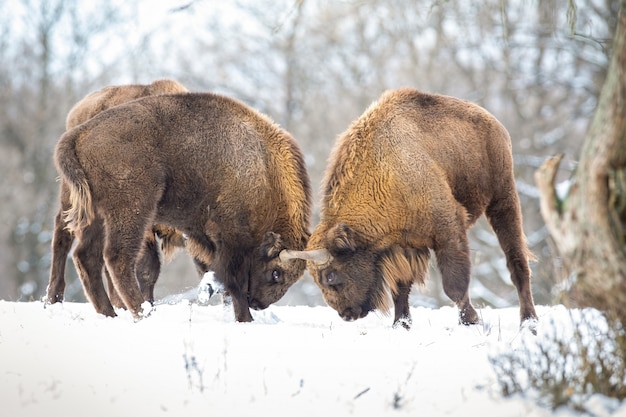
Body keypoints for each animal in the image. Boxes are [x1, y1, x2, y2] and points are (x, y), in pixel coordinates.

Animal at [53, 92, 310, 322]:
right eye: (276, 273)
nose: (258, 303)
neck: (264, 169)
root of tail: (77, 134)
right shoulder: (230, 237)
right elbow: (232, 280)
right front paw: (245, 318)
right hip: (132, 212)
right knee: (117, 257)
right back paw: (142, 313)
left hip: (95, 216)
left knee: (85, 256)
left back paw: (110, 314)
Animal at [282, 88, 536, 328]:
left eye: (330, 275)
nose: (347, 315)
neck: (384, 172)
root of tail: (493, 122)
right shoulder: (403, 246)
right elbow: (400, 288)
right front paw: (401, 324)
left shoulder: (448, 228)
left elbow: (453, 284)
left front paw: (471, 320)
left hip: (503, 199)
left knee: (517, 264)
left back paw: (529, 321)